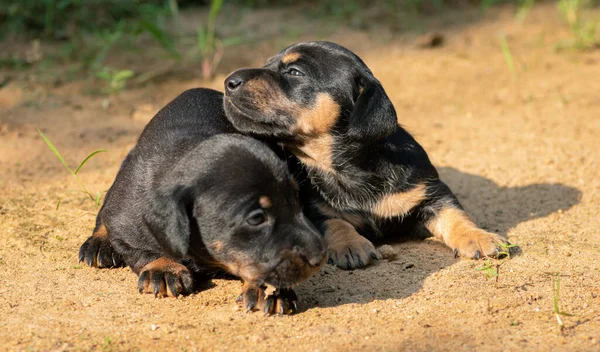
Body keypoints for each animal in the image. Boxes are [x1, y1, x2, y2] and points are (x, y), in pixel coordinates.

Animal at [79, 88, 326, 314]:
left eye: (297, 202)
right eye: (256, 218)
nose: (319, 257)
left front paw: (269, 290)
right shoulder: (125, 225)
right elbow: (141, 249)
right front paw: (164, 269)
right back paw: (99, 244)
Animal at [223, 40, 508, 270]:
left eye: (295, 72)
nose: (228, 82)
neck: (347, 166)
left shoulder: (429, 190)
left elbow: (455, 213)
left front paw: (479, 236)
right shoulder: (311, 207)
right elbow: (334, 221)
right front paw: (351, 245)